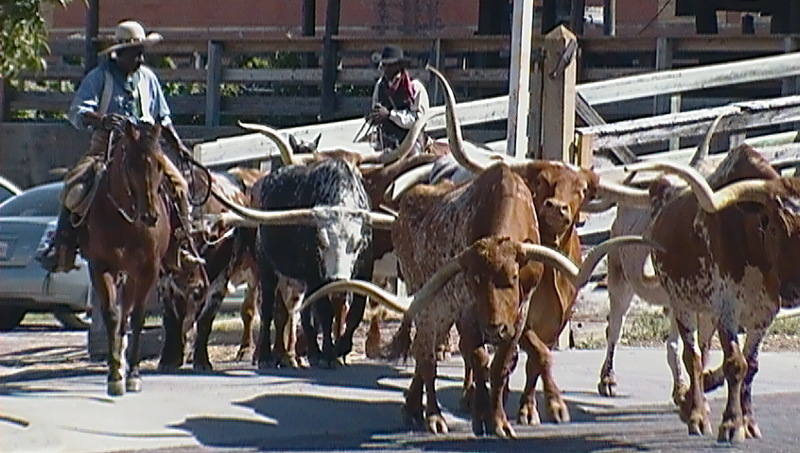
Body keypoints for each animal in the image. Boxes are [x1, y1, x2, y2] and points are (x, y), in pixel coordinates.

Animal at [78, 122, 173, 394]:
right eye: (131, 164)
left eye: (160, 164)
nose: (150, 216)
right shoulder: (100, 267)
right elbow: (111, 315)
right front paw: (114, 376)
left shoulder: (148, 270)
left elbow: (137, 317)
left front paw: (134, 374)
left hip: (133, 274)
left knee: (128, 312)